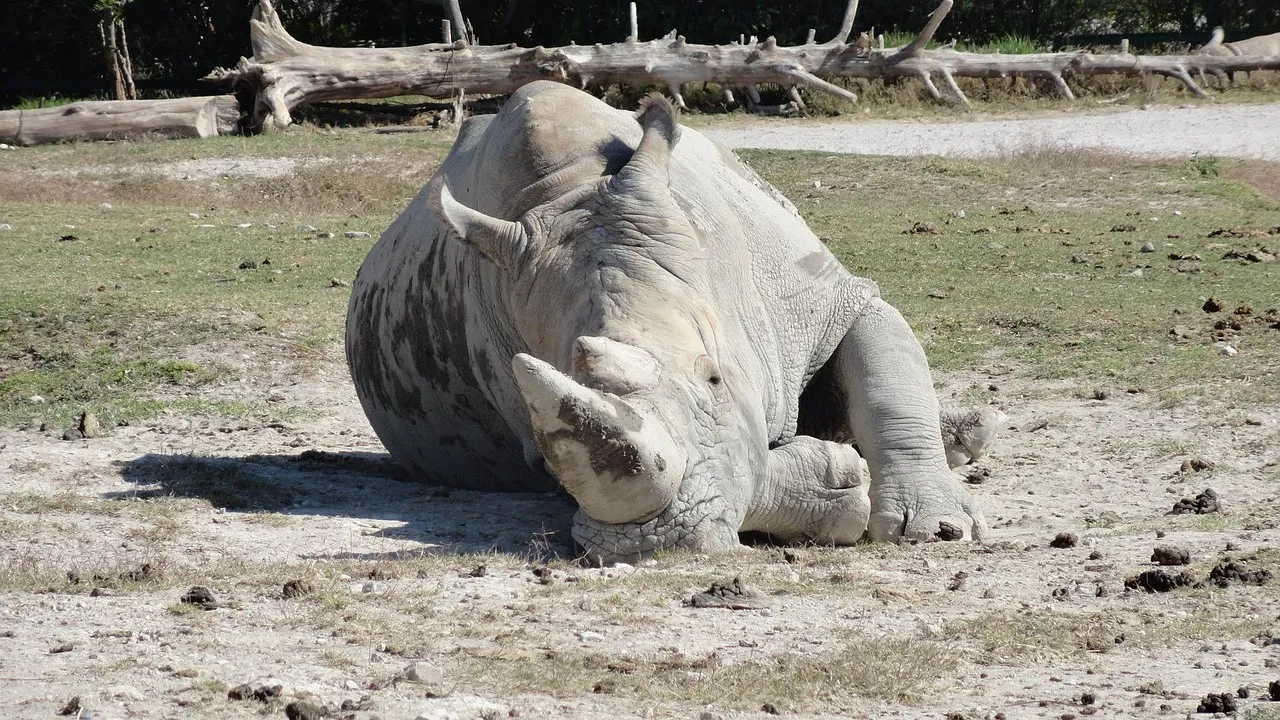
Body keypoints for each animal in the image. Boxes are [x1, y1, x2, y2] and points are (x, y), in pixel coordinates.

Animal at [345, 81, 986, 561]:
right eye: (545, 451)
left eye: (714, 378)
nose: (654, 544)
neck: (573, 190)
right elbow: (746, 465)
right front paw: (837, 484)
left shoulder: (828, 298)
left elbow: (885, 373)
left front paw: (935, 530)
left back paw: (970, 436)